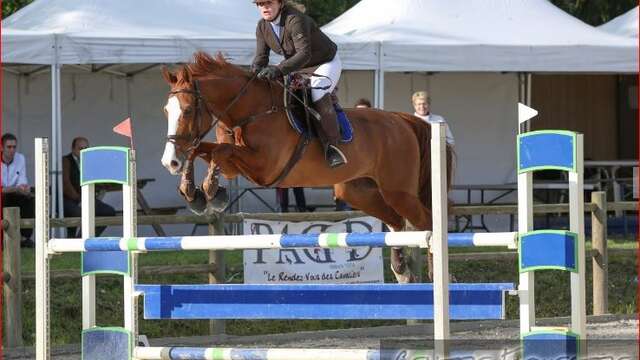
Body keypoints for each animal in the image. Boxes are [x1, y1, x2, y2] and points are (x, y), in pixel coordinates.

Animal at [159, 52, 450, 284]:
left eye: (187, 110)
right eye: (166, 111)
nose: (168, 162)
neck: (251, 111)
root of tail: (403, 120)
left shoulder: (264, 168)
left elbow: (218, 151)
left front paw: (210, 191)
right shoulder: (235, 167)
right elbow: (201, 150)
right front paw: (194, 194)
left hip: (398, 191)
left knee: (426, 222)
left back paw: (436, 274)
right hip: (357, 192)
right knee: (396, 221)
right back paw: (401, 270)